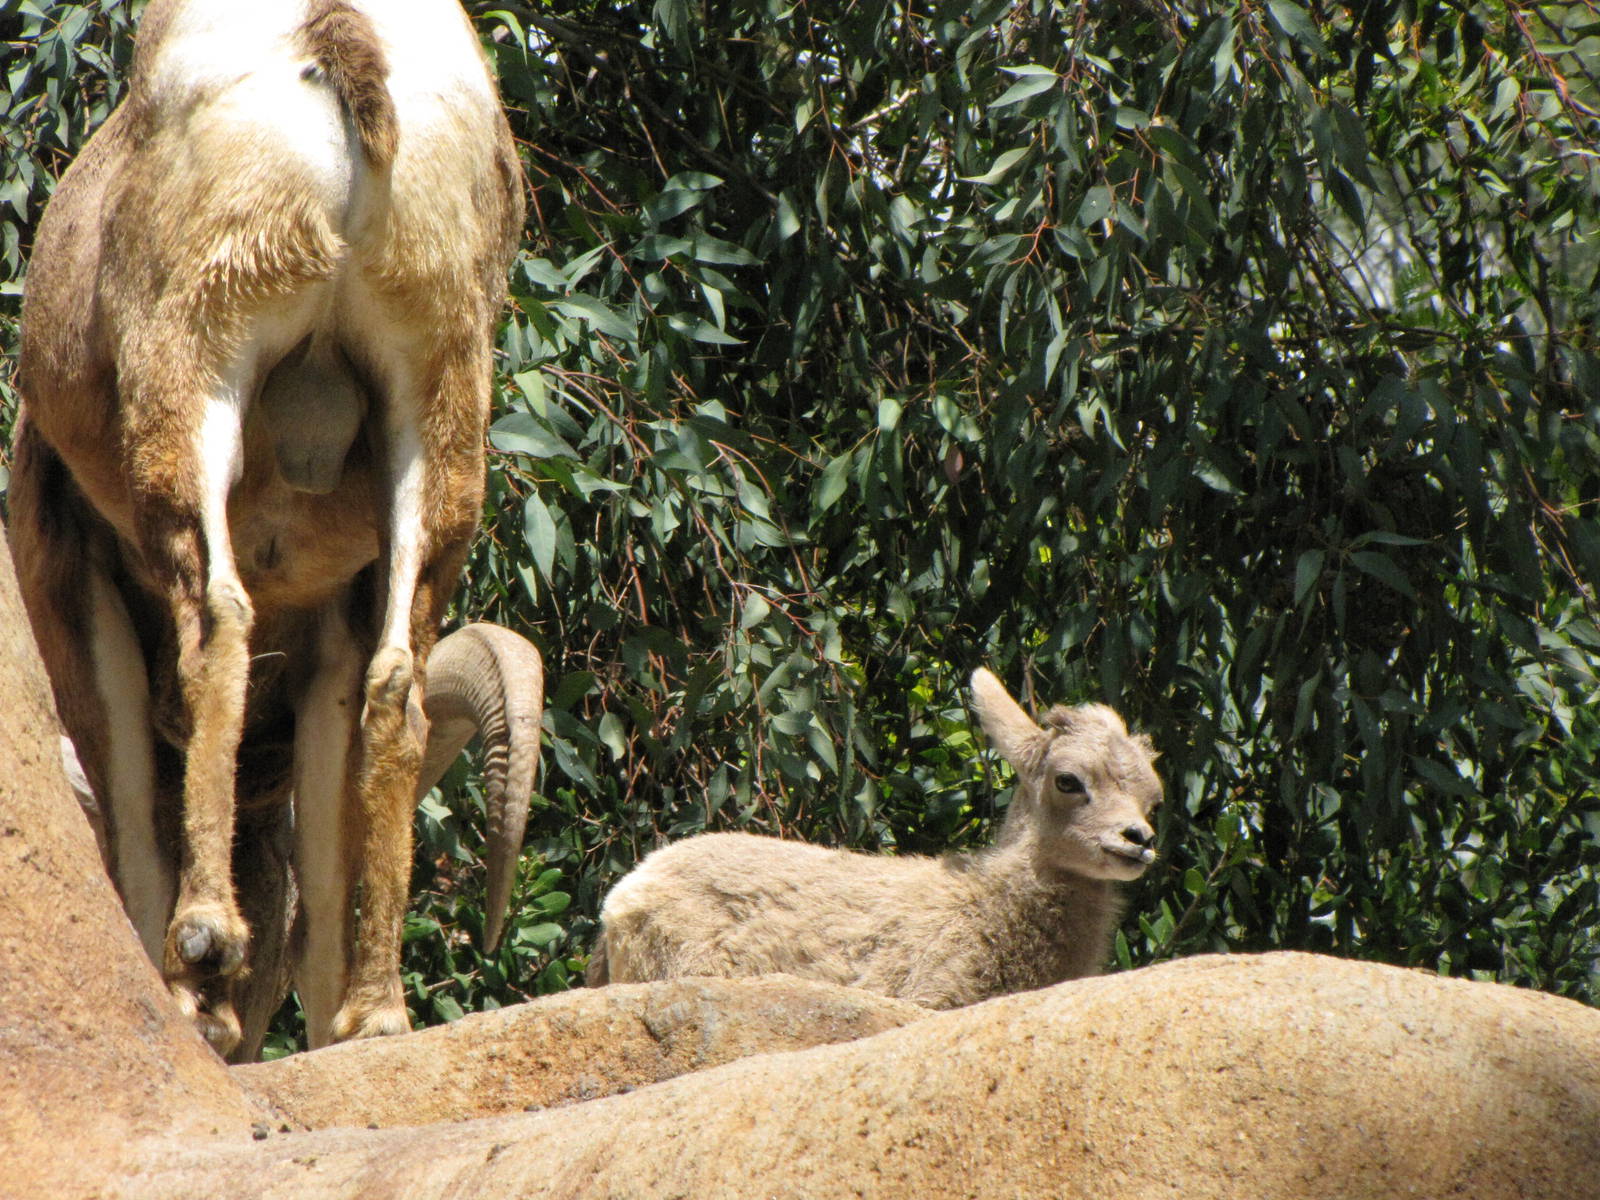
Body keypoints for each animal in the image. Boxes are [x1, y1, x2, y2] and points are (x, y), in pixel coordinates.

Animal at [7, 0, 527, 1055]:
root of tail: (345, 38)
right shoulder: (334, 620)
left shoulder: (69, 581)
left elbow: (131, 794)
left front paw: (188, 992)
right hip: (436, 419)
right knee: (397, 689)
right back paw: (378, 1012)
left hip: (197, 374)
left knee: (217, 620)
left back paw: (204, 943)